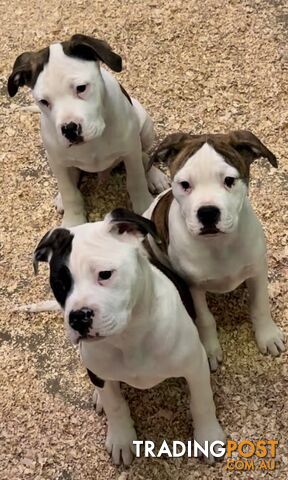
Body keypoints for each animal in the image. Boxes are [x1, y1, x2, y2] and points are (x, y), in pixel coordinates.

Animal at [7, 34, 168, 226]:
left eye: (81, 88)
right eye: (44, 102)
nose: (69, 129)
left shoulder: (130, 151)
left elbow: (136, 180)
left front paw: (144, 207)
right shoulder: (57, 162)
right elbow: (70, 193)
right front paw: (72, 222)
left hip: (145, 126)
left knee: (143, 154)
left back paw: (155, 176)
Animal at [31, 209, 225, 464]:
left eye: (105, 274)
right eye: (59, 284)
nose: (78, 317)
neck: (128, 337)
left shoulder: (195, 367)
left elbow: (202, 401)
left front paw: (208, 437)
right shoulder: (100, 373)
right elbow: (115, 406)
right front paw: (121, 439)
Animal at [145, 129, 284, 370]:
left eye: (229, 181)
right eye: (184, 184)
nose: (208, 212)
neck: (218, 245)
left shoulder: (257, 270)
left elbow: (260, 305)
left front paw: (268, 336)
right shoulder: (194, 286)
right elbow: (205, 319)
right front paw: (209, 349)